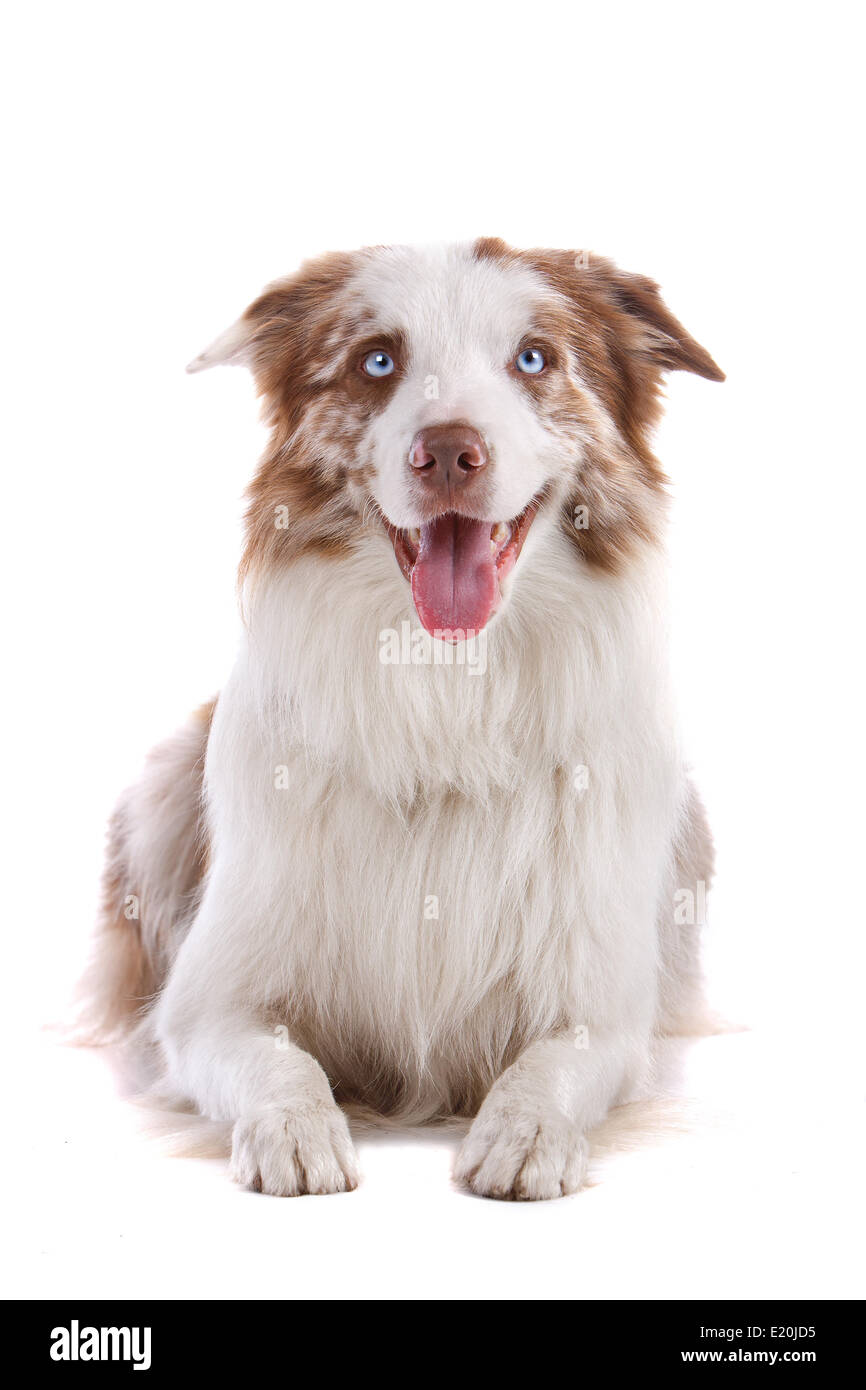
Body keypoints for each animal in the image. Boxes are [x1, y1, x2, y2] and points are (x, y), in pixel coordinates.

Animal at [81, 239, 722, 1195]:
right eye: (378, 361)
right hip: (162, 790)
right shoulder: (207, 1004)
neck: (446, 691)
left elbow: (557, 1060)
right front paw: (295, 1130)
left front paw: (524, 1131)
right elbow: (274, 1057)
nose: (448, 452)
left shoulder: (606, 1006)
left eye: (534, 358)